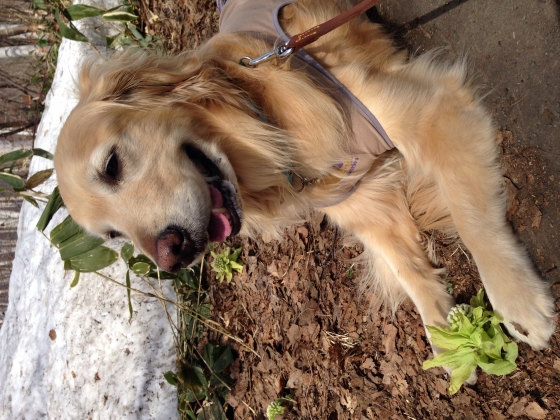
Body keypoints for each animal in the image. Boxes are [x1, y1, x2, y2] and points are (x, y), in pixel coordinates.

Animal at [54, 0, 555, 367]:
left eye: (111, 165)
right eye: (112, 236)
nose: (170, 255)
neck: (261, 116)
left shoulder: (435, 110)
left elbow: (473, 221)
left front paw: (518, 302)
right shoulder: (360, 198)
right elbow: (406, 268)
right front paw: (449, 341)